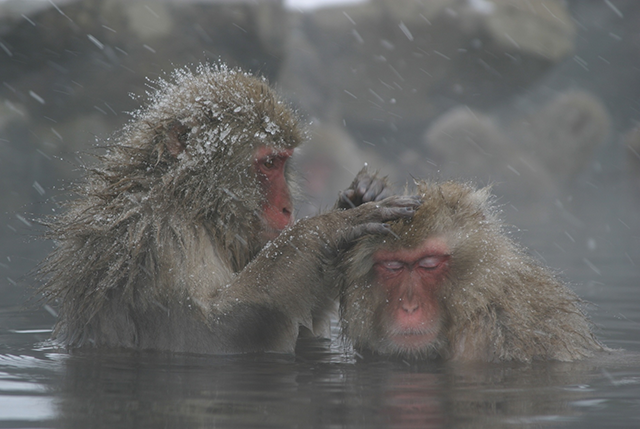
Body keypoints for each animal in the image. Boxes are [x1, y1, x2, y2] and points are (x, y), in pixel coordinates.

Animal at [37, 62, 418, 352]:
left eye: (283, 162)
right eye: (268, 164)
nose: (287, 209)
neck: (190, 202)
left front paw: (362, 194)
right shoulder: (156, 241)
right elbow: (210, 336)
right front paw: (327, 229)